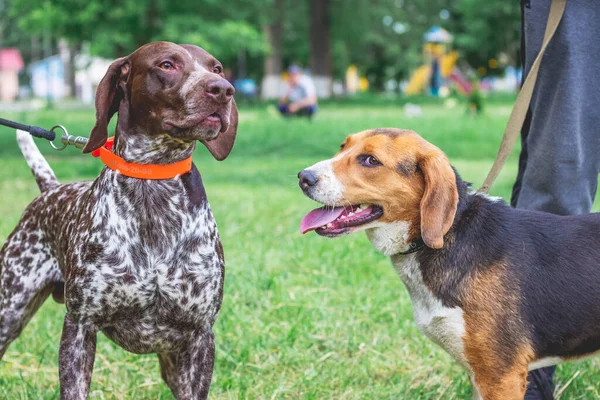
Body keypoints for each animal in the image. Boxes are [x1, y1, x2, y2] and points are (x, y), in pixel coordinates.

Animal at [0, 42, 239, 398]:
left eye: (217, 68)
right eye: (167, 65)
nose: (222, 89)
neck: (153, 182)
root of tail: (50, 189)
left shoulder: (199, 336)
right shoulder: (80, 328)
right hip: (9, 310)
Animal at [298, 129, 600, 400]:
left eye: (370, 160)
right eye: (343, 146)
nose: (303, 177)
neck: (449, 231)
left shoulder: (501, 376)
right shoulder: (479, 375)